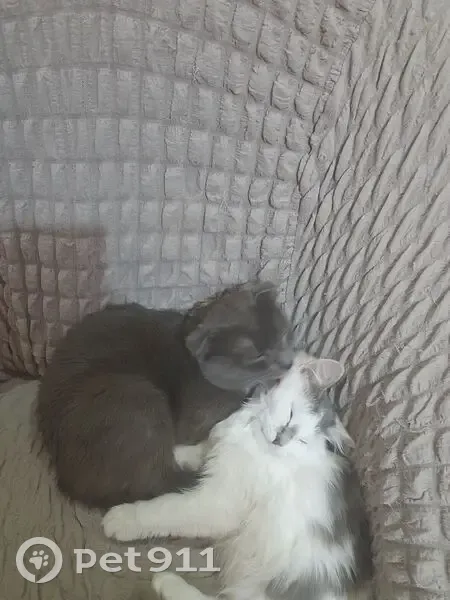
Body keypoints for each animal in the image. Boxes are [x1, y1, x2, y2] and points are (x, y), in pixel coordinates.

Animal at [36, 281, 295, 509]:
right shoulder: (198, 418)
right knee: (160, 478)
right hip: (136, 395)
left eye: (283, 335)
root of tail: (71, 482)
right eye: (258, 356)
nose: (288, 363)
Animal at [102, 352, 374, 600]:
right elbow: (201, 449)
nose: (280, 439)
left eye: (301, 441)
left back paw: (165, 582)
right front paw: (178, 454)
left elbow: (163, 510)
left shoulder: (218, 501)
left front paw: (122, 520)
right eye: (291, 415)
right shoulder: (218, 445)